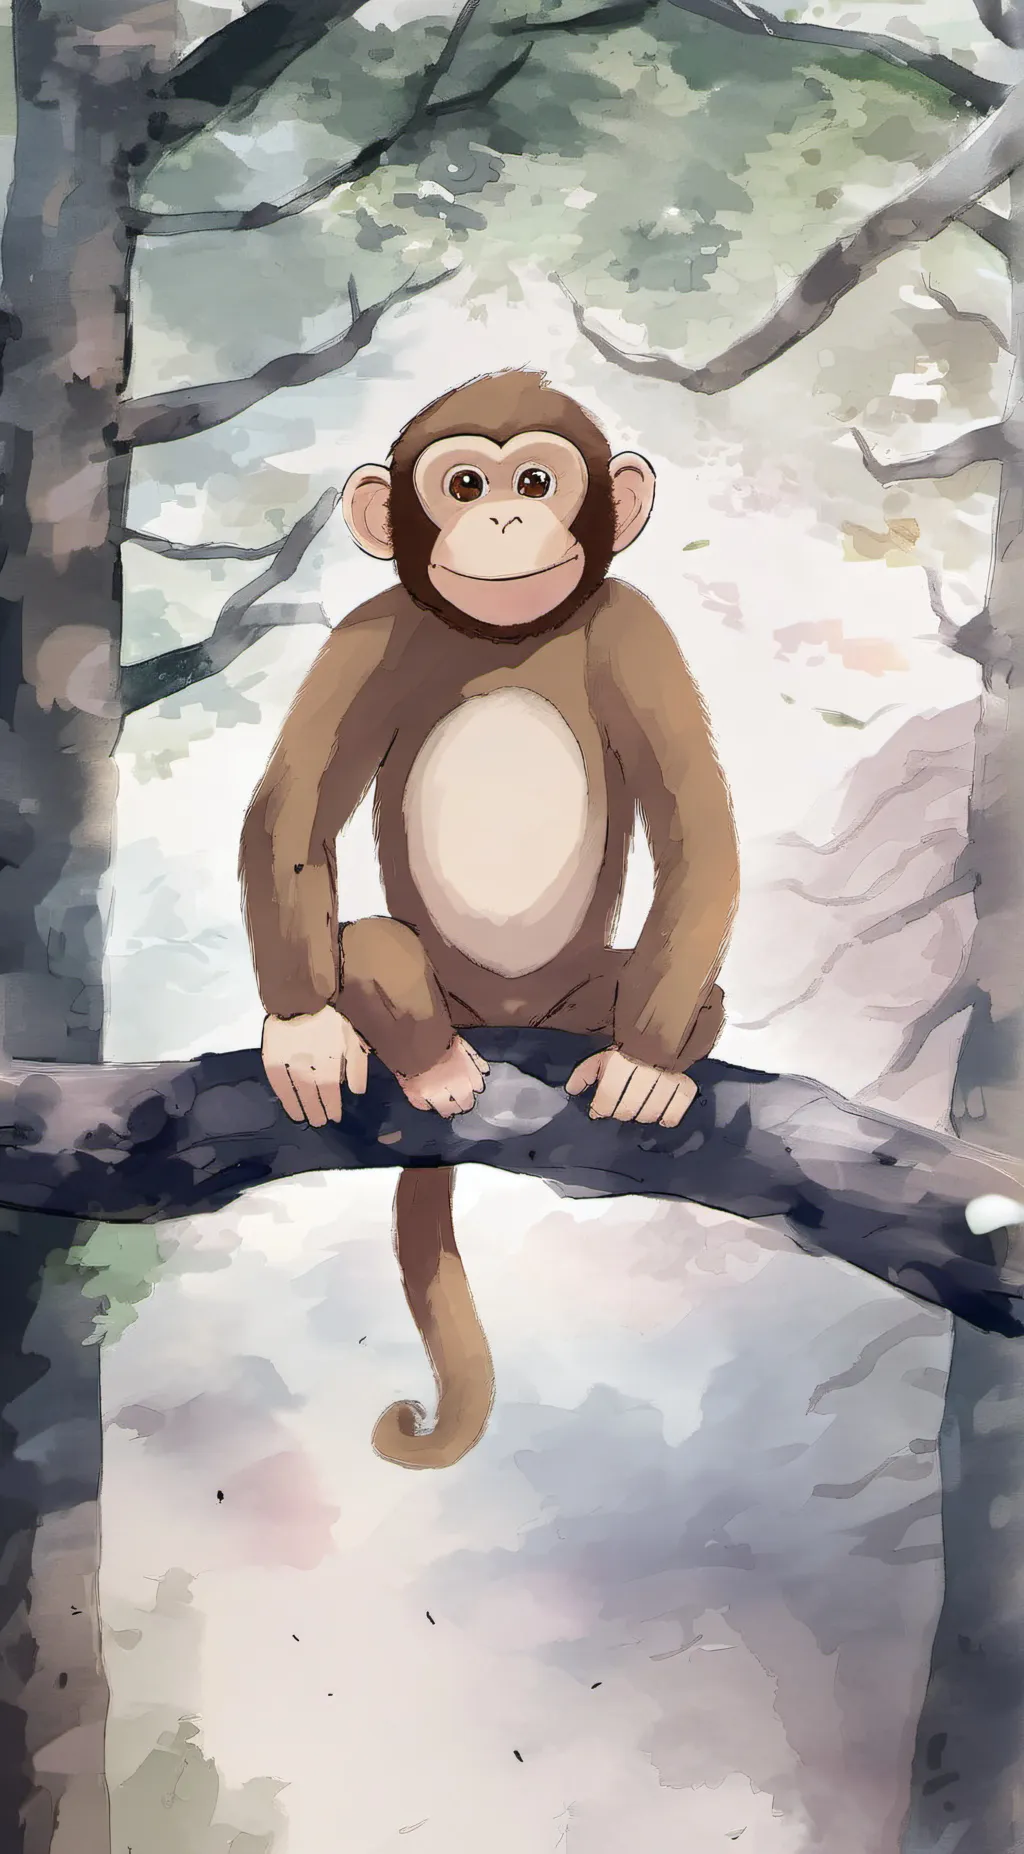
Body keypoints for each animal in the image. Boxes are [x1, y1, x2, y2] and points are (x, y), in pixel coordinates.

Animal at [239, 369, 739, 1471]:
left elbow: (697, 825)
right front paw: (302, 1030)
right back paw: (423, 1054)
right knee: (372, 944)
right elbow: (292, 813)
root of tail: (502, 1017)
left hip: (576, 1000)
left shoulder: (636, 628)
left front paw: (647, 1069)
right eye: (463, 483)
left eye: (537, 479)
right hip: (447, 986)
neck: (503, 640)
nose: (505, 516)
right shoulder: (371, 630)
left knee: (693, 991)